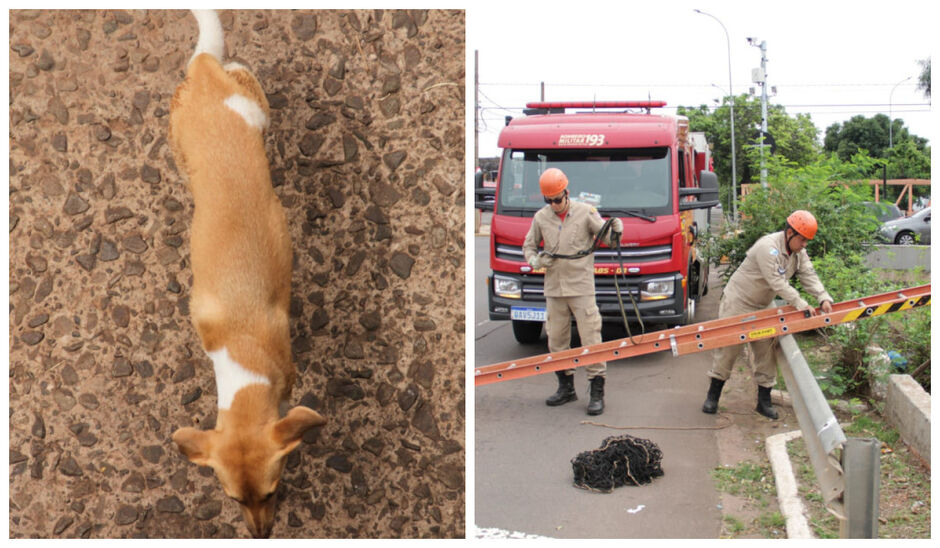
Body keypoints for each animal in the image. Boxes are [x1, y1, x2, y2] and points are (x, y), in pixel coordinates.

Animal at [168, 9, 326, 540]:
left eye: (274, 492)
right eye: (234, 499)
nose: (261, 535)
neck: (240, 354)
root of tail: (201, 70)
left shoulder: (288, 371)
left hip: (255, 109)